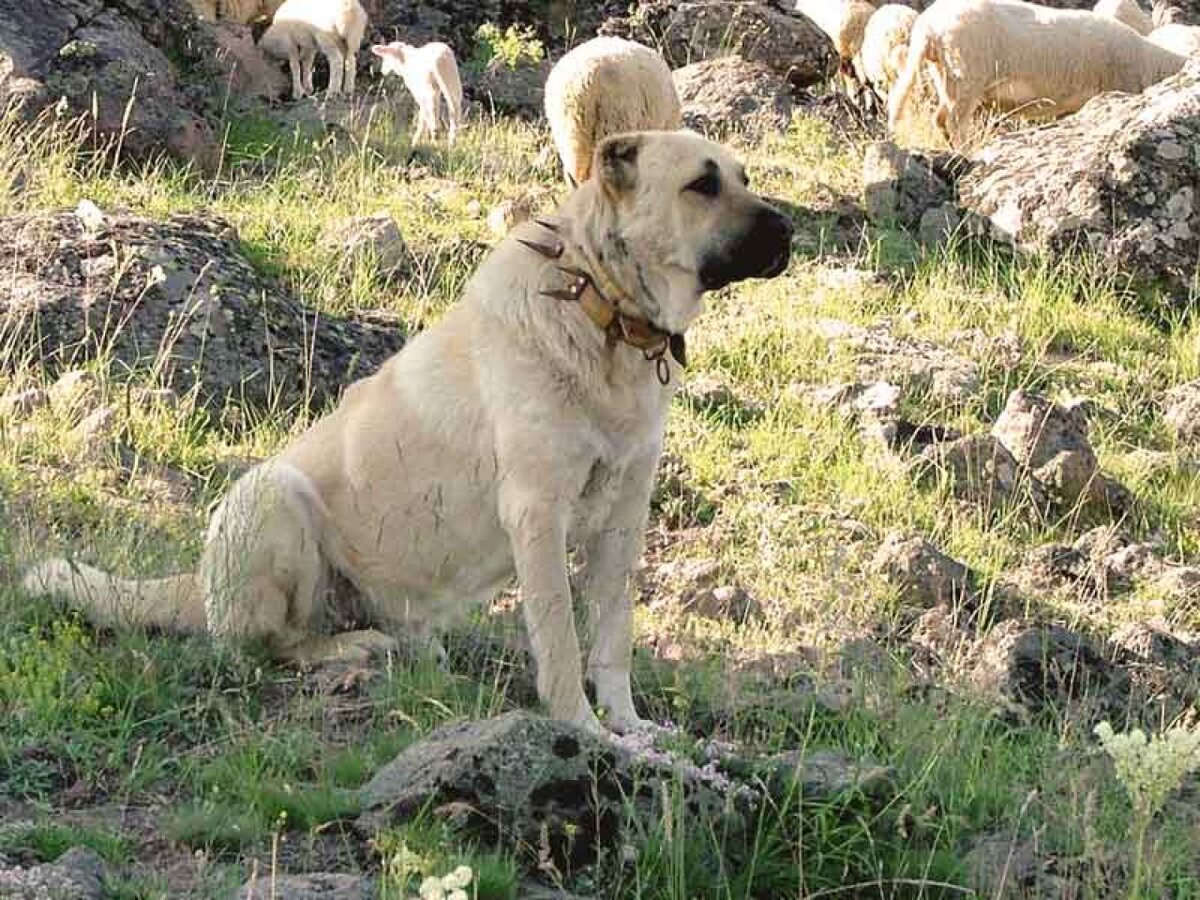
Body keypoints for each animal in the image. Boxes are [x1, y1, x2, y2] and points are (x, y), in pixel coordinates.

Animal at [23, 133, 792, 739]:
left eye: (743, 175)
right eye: (702, 184)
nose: (787, 230)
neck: (601, 309)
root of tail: (198, 584)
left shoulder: (621, 523)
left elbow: (612, 641)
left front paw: (630, 727)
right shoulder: (538, 514)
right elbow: (563, 642)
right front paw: (580, 729)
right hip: (274, 494)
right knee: (273, 645)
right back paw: (355, 649)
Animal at [888, 0, 1185, 150]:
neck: (1151, 59)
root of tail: (928, 25)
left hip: (947, 77)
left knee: (940, 118)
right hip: (967, 74)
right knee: (954, 121)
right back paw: (967, 153)